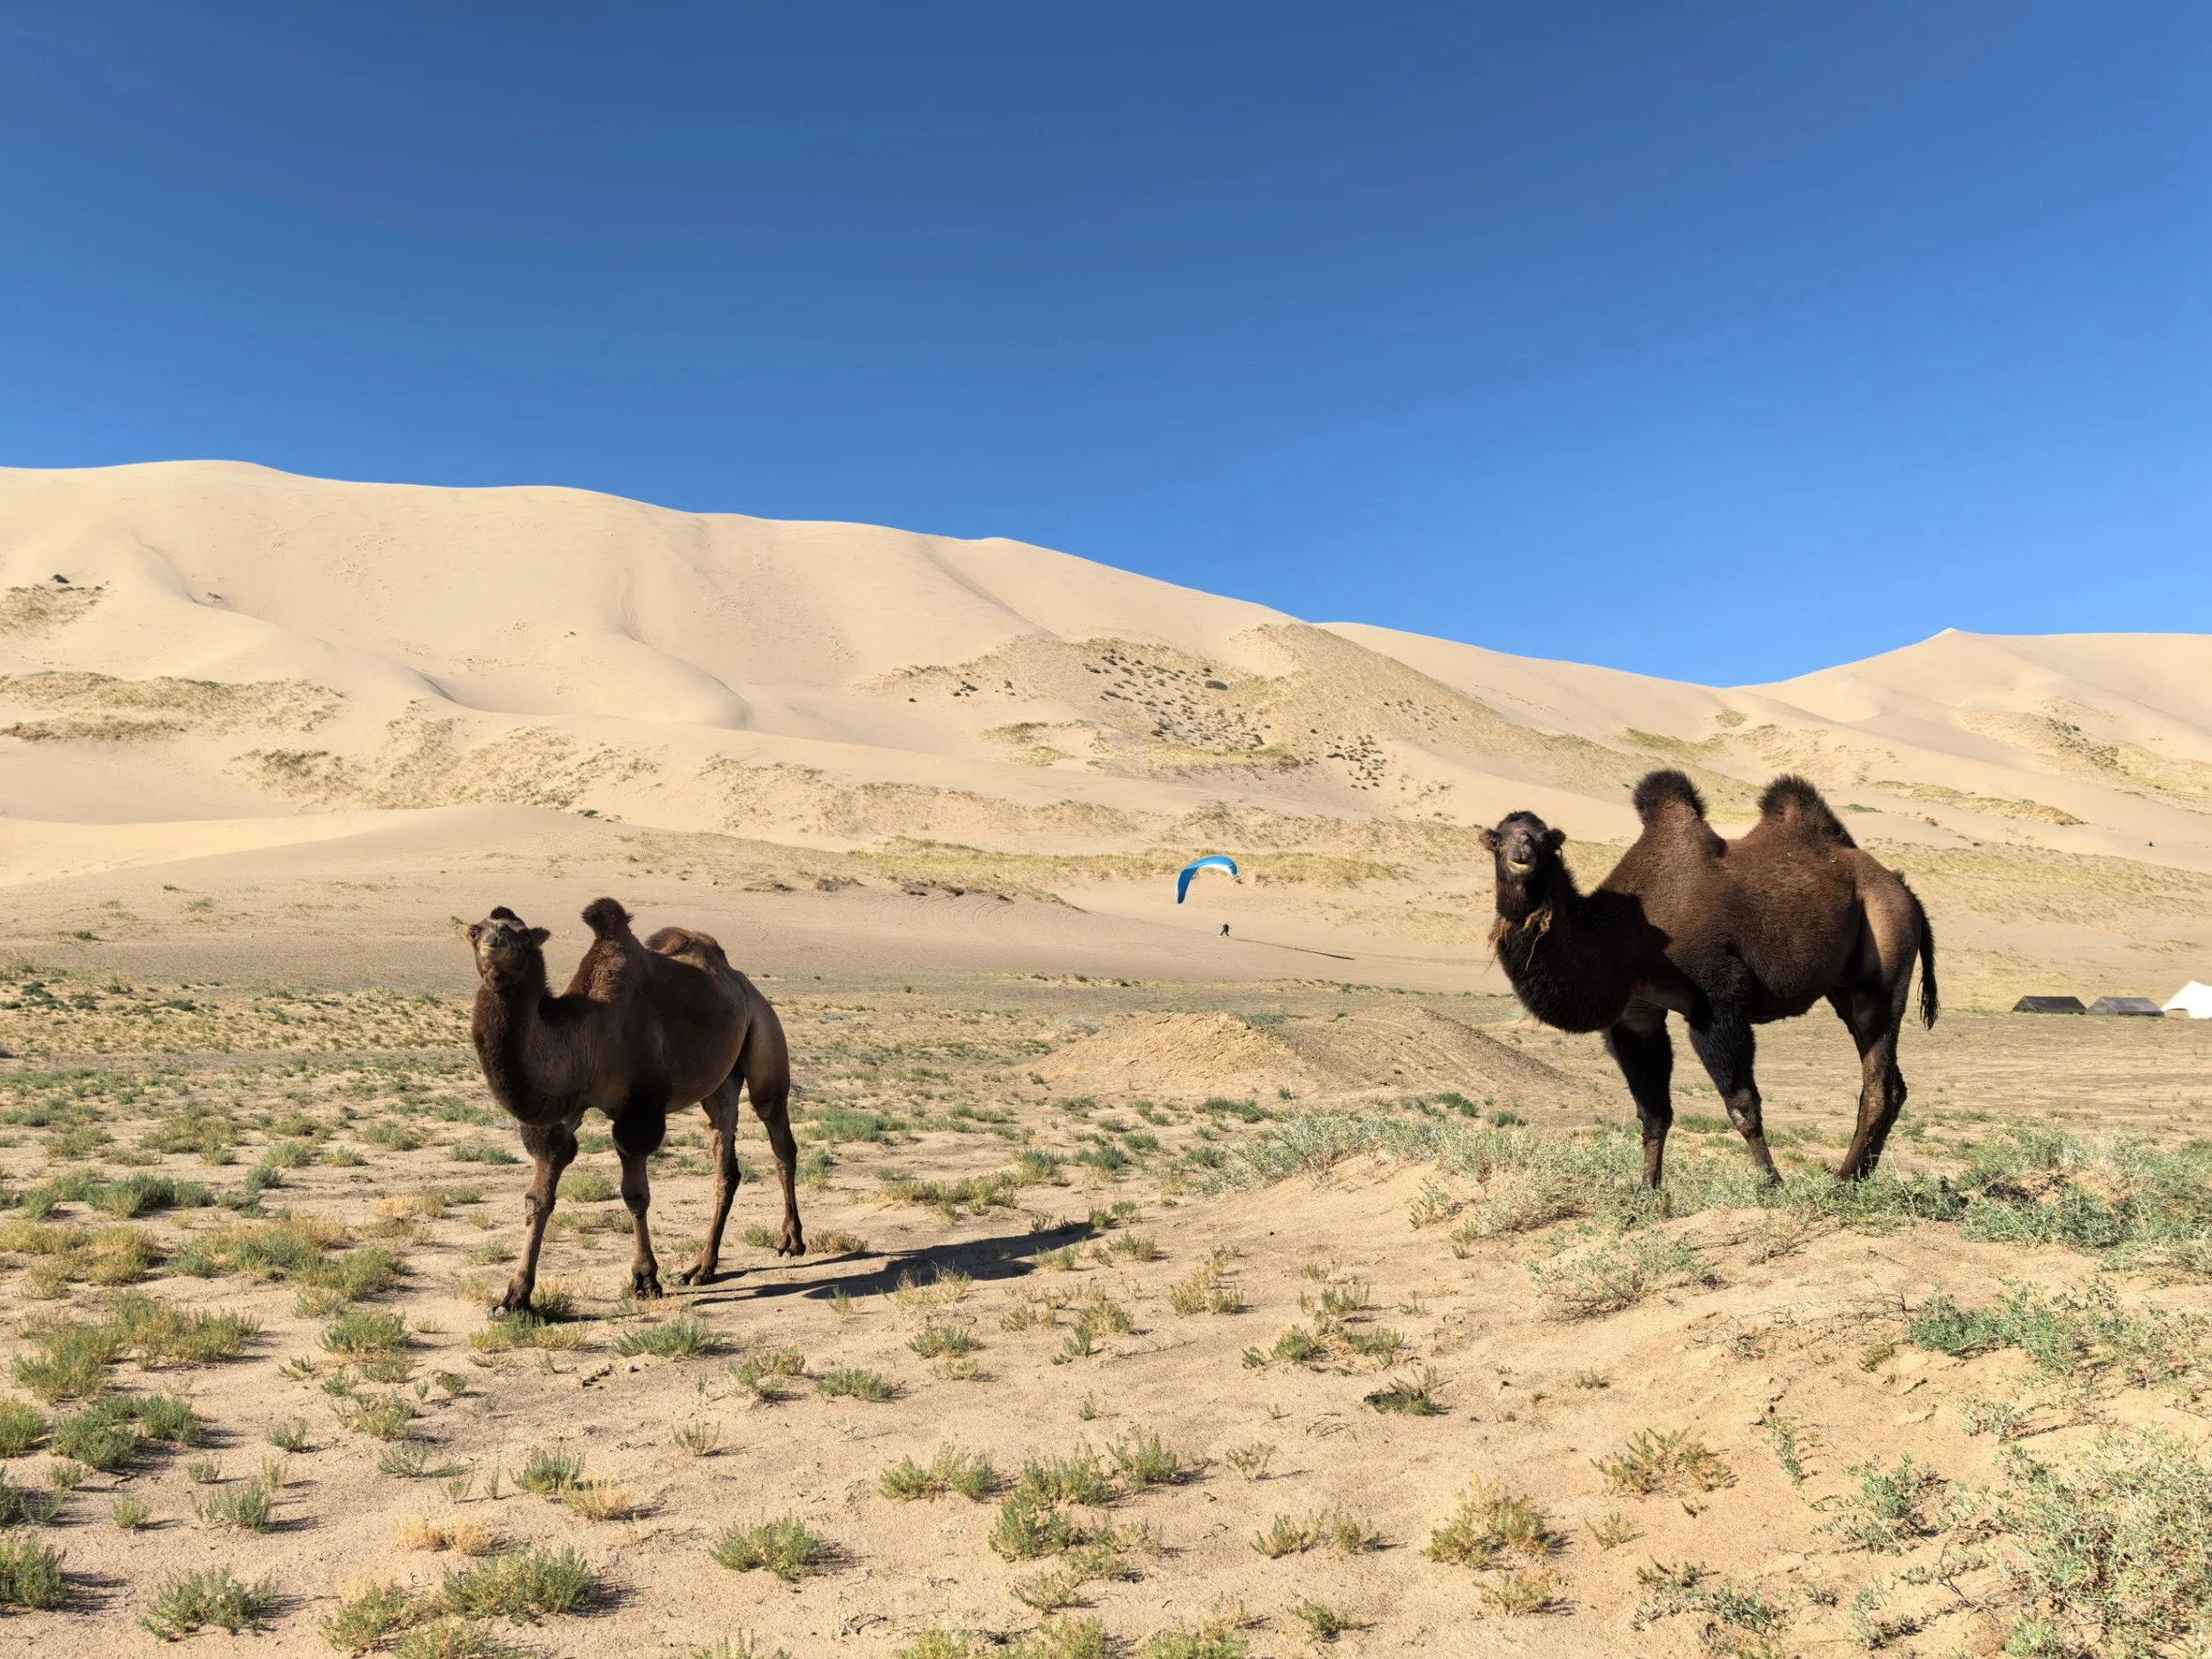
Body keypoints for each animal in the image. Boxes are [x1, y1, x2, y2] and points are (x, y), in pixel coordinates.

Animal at [464, 897, 803, 1314]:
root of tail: (742, 981)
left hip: (765, 1033)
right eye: (475, 930)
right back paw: (702, 1268)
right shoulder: (564, 1109)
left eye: (524, 935)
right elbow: (538, 1199)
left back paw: (791, 1242)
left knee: (778, 1133)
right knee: (725, 1161)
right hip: (720, 1083)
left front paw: (644, 1279)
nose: (494, 941)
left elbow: (635, 1195)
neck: (587, 1033)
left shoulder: (638, 1111)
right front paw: (513, 1298)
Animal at [1483, 770, 1935, 1187]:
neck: (1621, 937)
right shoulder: (1637, 1015)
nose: (1522, 853)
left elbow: (1742, 1105)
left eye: (1545, 840)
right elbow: (1653, 1113)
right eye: (1497, 840)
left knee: (1879, 1078)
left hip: (1883, 952)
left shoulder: (1715, 1000)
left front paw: (1772, 1183)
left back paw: (1843, 1181)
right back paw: (1857, 1177)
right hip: (1843, 985)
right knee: (1892, 1082)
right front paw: (1647, 1193)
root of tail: (1905, 889)